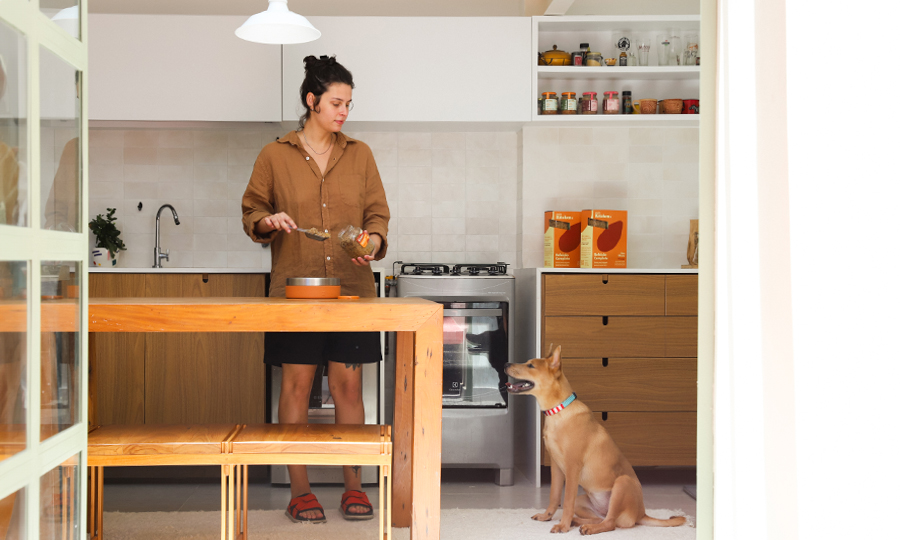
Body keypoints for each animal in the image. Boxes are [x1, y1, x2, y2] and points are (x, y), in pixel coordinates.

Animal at [502, 346, 684, 536]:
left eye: (530, 365)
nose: (505, 363)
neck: (559, 411)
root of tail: (641, 513)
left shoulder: (572, 468)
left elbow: (566, 502)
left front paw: (563, 526)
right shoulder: (556, 467)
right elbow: (554, 496)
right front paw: (547, 516)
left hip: (622, 483)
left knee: (610, 523)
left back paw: (587, 527)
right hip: (583, 501)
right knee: (600, 518)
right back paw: (578, 522)